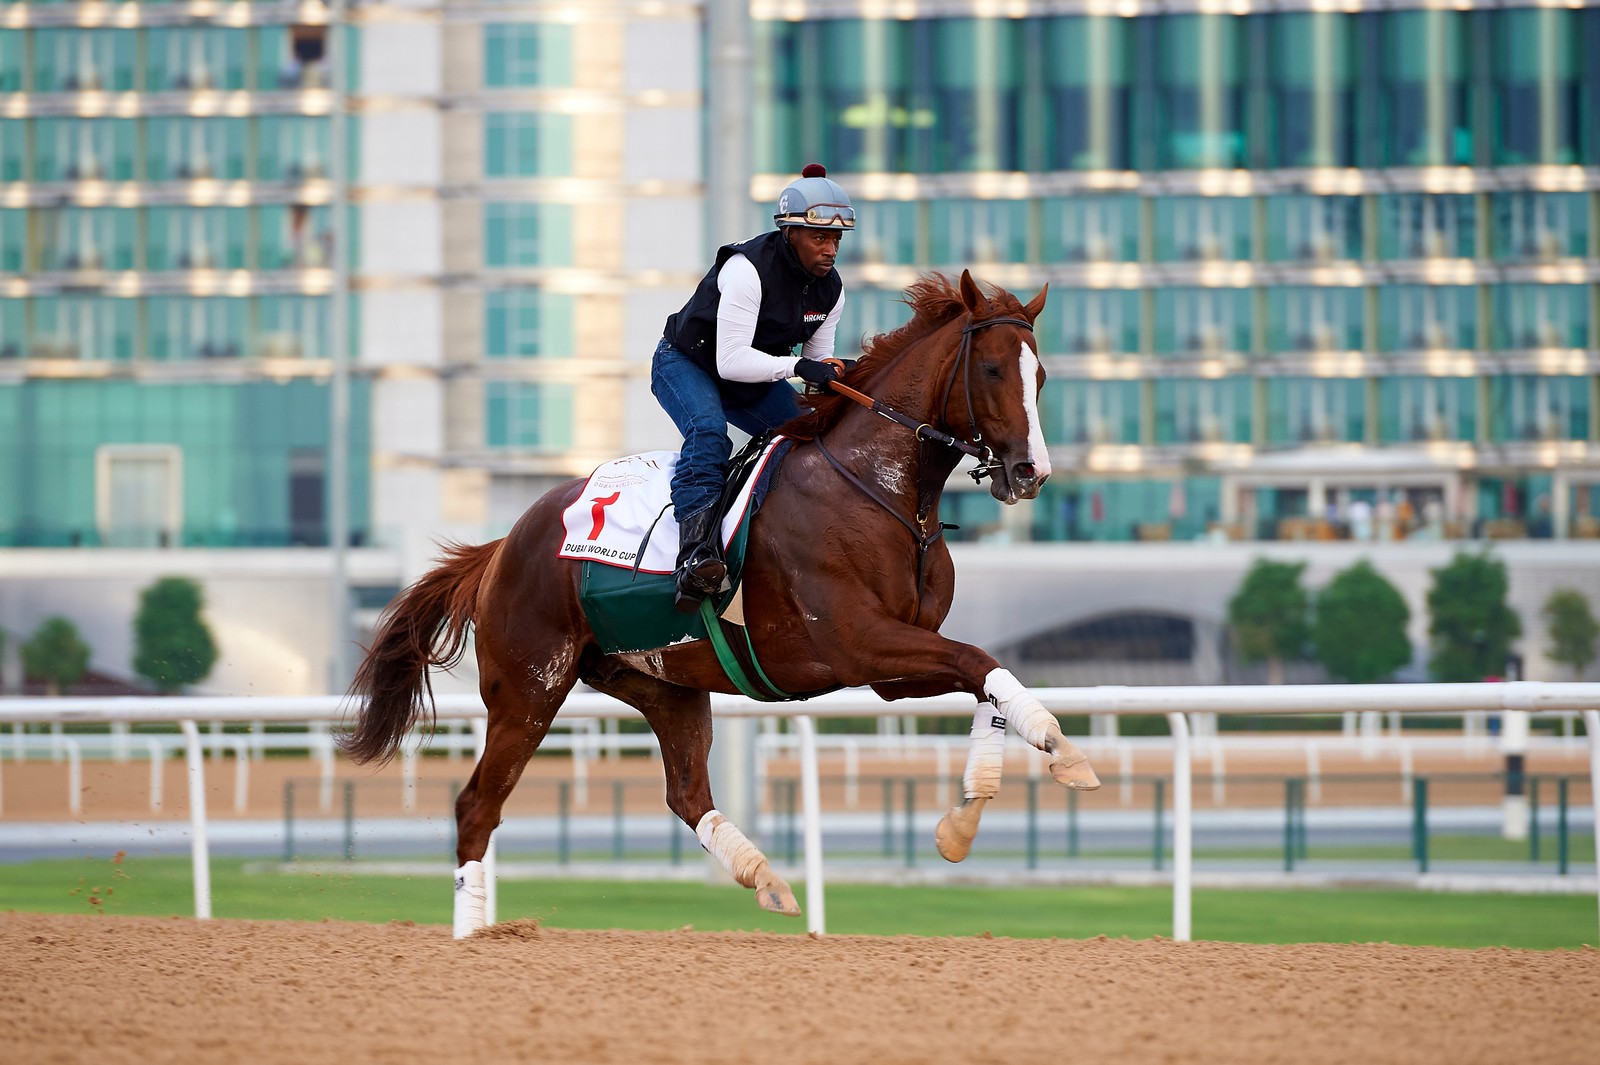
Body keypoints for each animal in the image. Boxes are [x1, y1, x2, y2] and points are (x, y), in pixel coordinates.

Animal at [340, 270, 1100, 933]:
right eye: (994, 370)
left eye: (1039, 375)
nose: (1030, 472)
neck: (877, 489)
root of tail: (501, 545)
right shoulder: (858, 641)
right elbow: (978, 660)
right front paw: (1064, 749)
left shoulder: (887, 668)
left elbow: (983, 676)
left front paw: (963, 820)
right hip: (528, 686)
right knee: (477, 805)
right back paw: (473, 938)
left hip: (661, 683)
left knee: (685, 793)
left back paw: (767, 878)